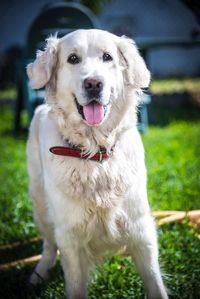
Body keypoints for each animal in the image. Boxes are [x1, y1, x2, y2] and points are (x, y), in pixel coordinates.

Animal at [26, 28, 167, 299]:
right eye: (72, 59)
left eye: (107, 57)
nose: (93, 84)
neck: (96, 155)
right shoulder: (69, 237)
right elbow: (75, 284)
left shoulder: (140, 229)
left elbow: (155, 282)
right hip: (40, 204)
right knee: (48, 244)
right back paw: (39, 273)